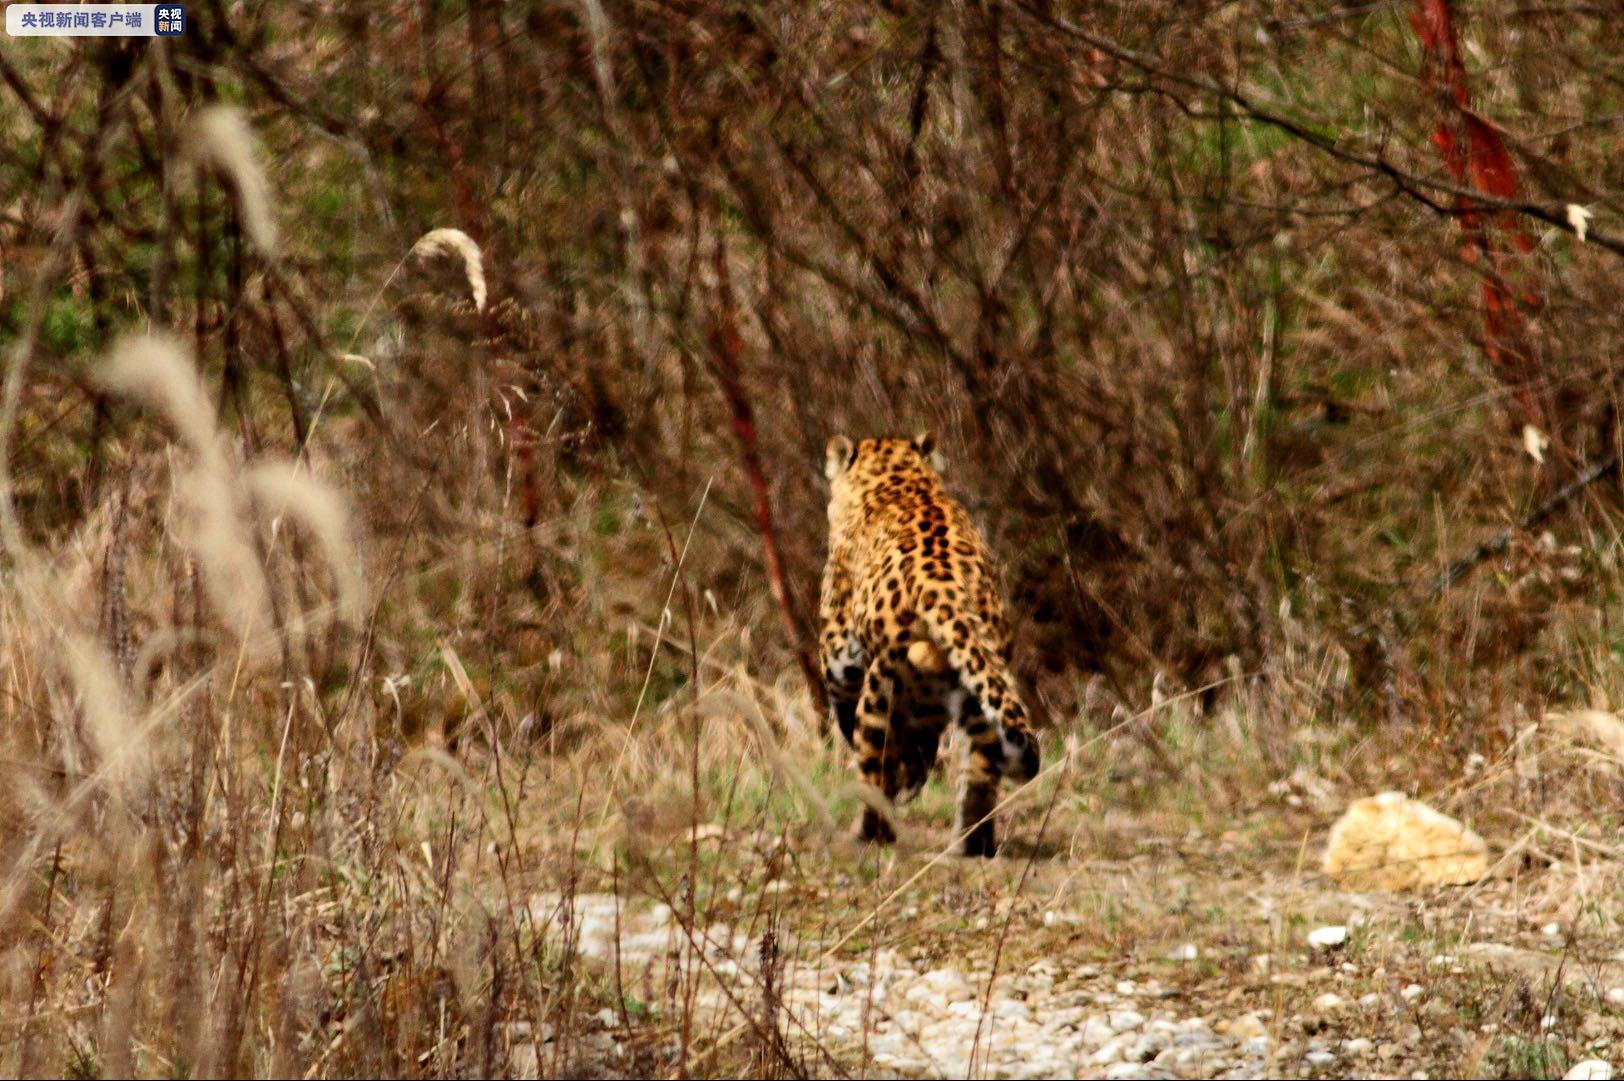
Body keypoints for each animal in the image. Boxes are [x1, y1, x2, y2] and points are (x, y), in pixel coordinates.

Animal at [818, 425, 1032, 857]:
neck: (897, 474)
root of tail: (944, 589)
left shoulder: (836, 647)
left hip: (880, 689)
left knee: (875, 767)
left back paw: (869, 832)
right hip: (975, 687)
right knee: (979, 769)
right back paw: (972, 843)